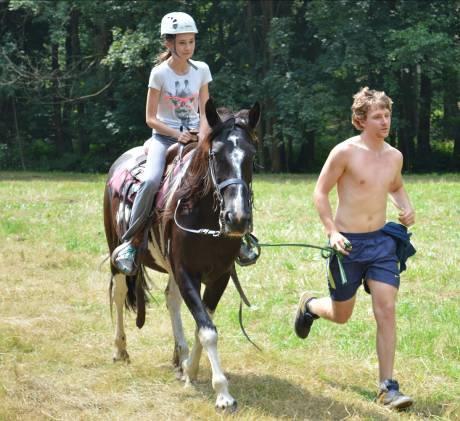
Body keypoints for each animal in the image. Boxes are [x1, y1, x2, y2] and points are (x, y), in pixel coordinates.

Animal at [105, 97, 262, 408]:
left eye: (251, 156)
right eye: (215, 155)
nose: (238, 219)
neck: (203, 215)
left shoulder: (219, 276)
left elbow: (204, 325)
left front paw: (190, 370)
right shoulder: (186, 271)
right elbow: (208, 330)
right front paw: (223, 393)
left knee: (171, 300)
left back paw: (180, 357)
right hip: (115, 249)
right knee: (119, 293)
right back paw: (120, 350)